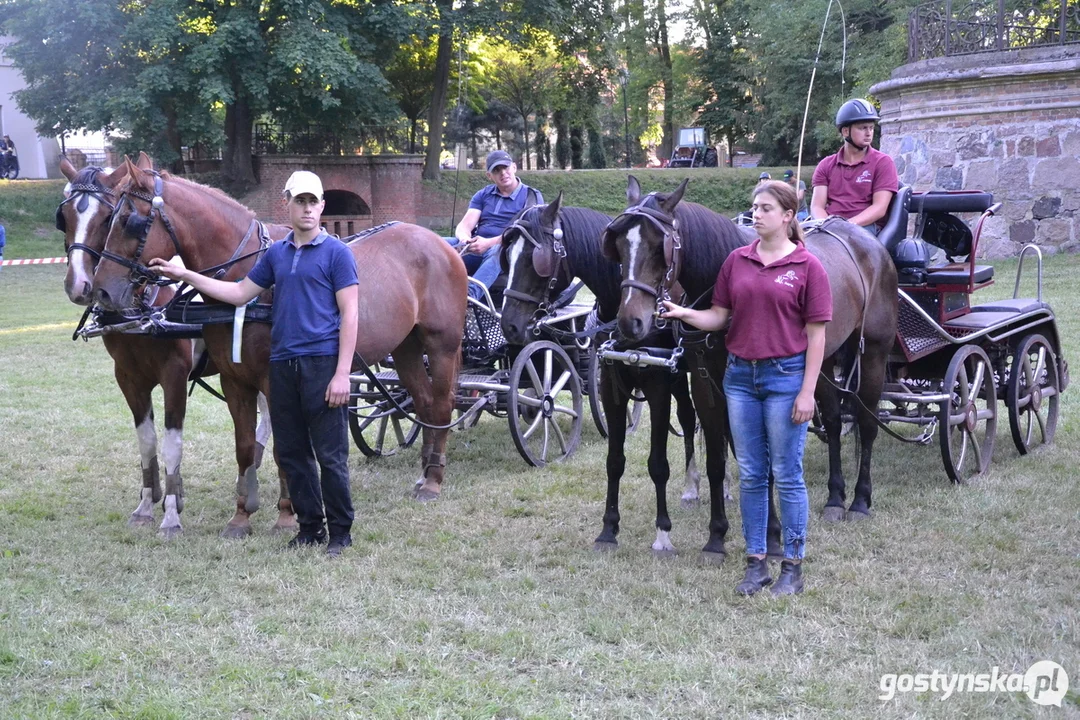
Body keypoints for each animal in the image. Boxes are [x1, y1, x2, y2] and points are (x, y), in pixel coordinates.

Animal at [498, 197, 704, 557]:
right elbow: (614, 460)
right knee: (688, 417)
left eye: (536, 259)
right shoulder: (610, 387)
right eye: (507, 255)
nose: (509, 324)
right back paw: (692, 486)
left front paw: (662, 533)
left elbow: (658, 464)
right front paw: (608, 529)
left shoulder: (658, 387)